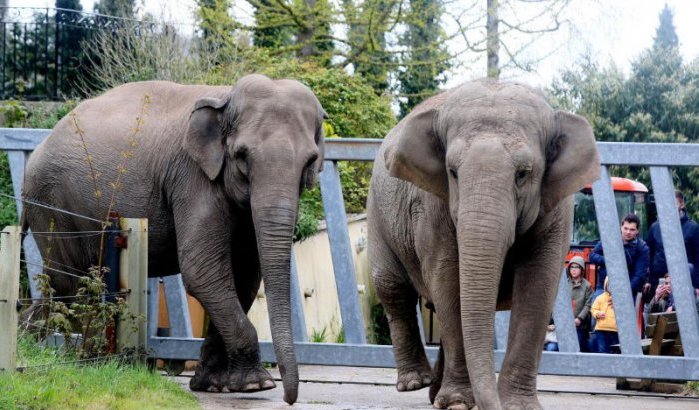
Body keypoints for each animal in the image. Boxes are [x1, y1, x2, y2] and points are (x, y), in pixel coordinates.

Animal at [21, 74, 328, 404]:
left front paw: (215, 385)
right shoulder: (191, 177)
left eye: (310, 161)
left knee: (59, 286)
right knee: (71, 284)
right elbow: (201, 269)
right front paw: (257, 385)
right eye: (242, 156)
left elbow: (244, 275)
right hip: (54, 204)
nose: (289, 398)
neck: (225, 97)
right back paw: (86, 361)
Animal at [366, 80, 600, 410]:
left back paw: (434, 393)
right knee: (392, 288)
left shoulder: (557, 210)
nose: (493, 403)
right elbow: (448, 283)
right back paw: (416, 383)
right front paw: (457, 403)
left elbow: (537, 286)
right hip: (378, 212)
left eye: (523, 174)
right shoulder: (432, 205)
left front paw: (518, 406)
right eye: (452, 172)